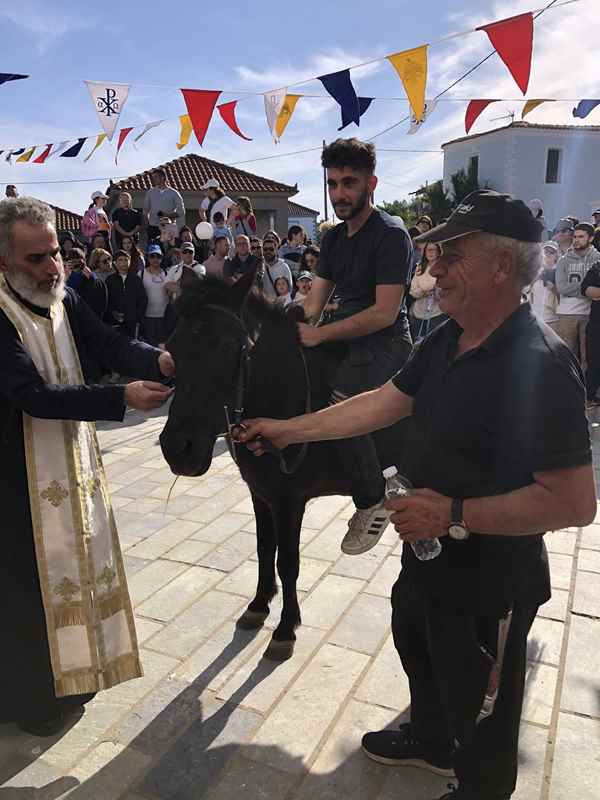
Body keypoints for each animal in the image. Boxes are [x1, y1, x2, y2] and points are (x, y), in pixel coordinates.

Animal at [159, 268, 409, 661]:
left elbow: (287, 563)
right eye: (173, 346)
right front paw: (258, 605)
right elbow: (264, 550)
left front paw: (285, 628)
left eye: (230, 347)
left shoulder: (289, 501)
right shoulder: (261, 494)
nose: (177, 449)